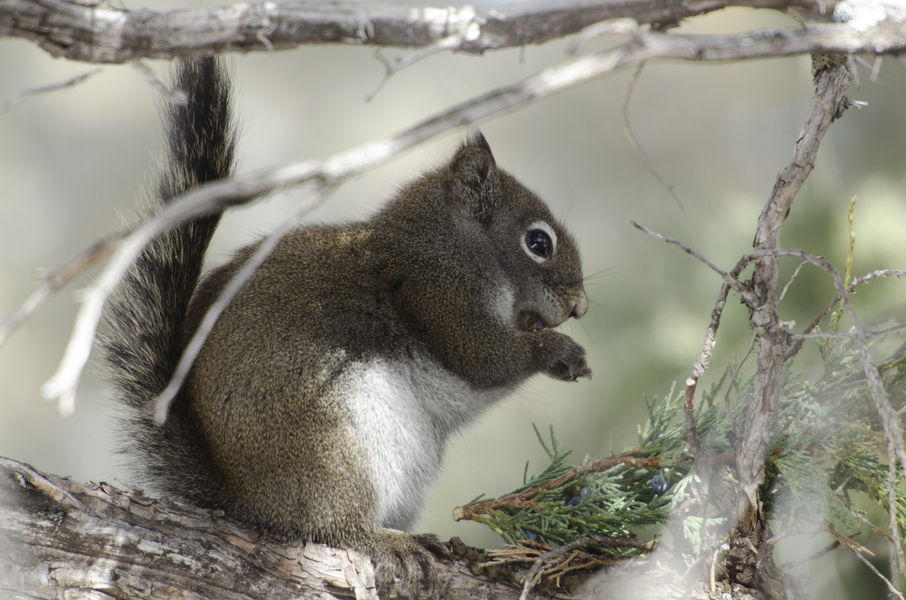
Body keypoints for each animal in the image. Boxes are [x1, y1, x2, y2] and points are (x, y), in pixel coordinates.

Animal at [102, 57, 588, 600]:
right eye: (538, 242)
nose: (580, 306)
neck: (446, 245)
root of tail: (246, 500)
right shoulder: (436, 295)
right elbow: (485, 357)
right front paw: (559, 351)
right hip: (334, 448)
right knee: (332, 528)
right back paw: (386, 541)